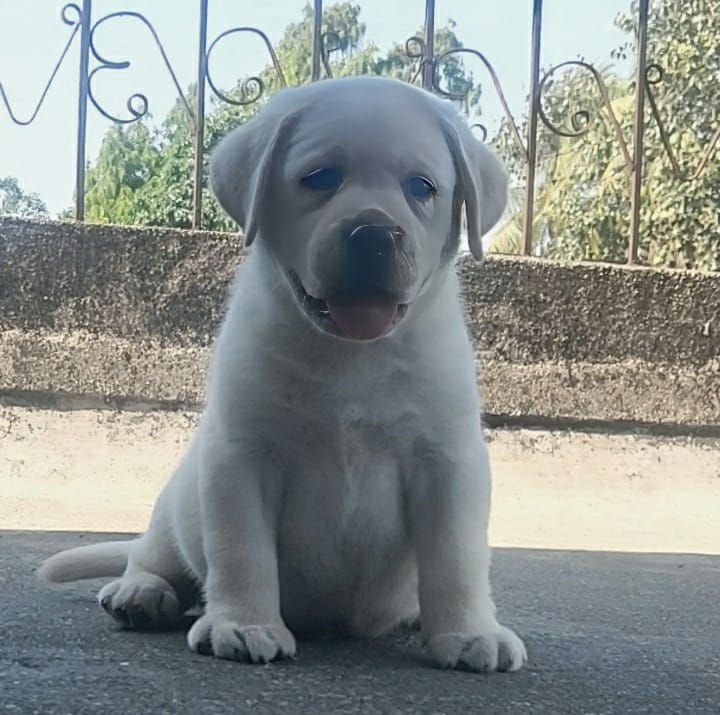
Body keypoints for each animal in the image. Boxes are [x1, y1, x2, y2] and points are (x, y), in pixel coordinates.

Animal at [39, 75, 524, 676]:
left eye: (422, 187)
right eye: (319, 177)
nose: (373, 235)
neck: (351, 354)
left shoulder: (448, 460)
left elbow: (456, 556)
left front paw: (469, 631)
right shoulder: (241, 455)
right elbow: (241, 550)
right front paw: (245, 625)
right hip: (177, 502)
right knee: (157, 554)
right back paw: (141, 593)